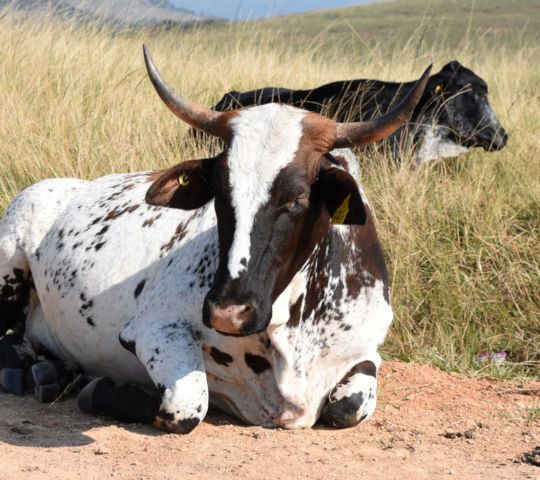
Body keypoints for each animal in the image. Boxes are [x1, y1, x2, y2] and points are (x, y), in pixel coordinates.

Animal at [0, 47, 430, 434]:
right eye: (220, 192)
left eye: (298, 199)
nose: (228, 312)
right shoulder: (154, 327)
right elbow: (187, 404)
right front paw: (100, 389)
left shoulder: (366, 351)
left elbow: (349, 407)